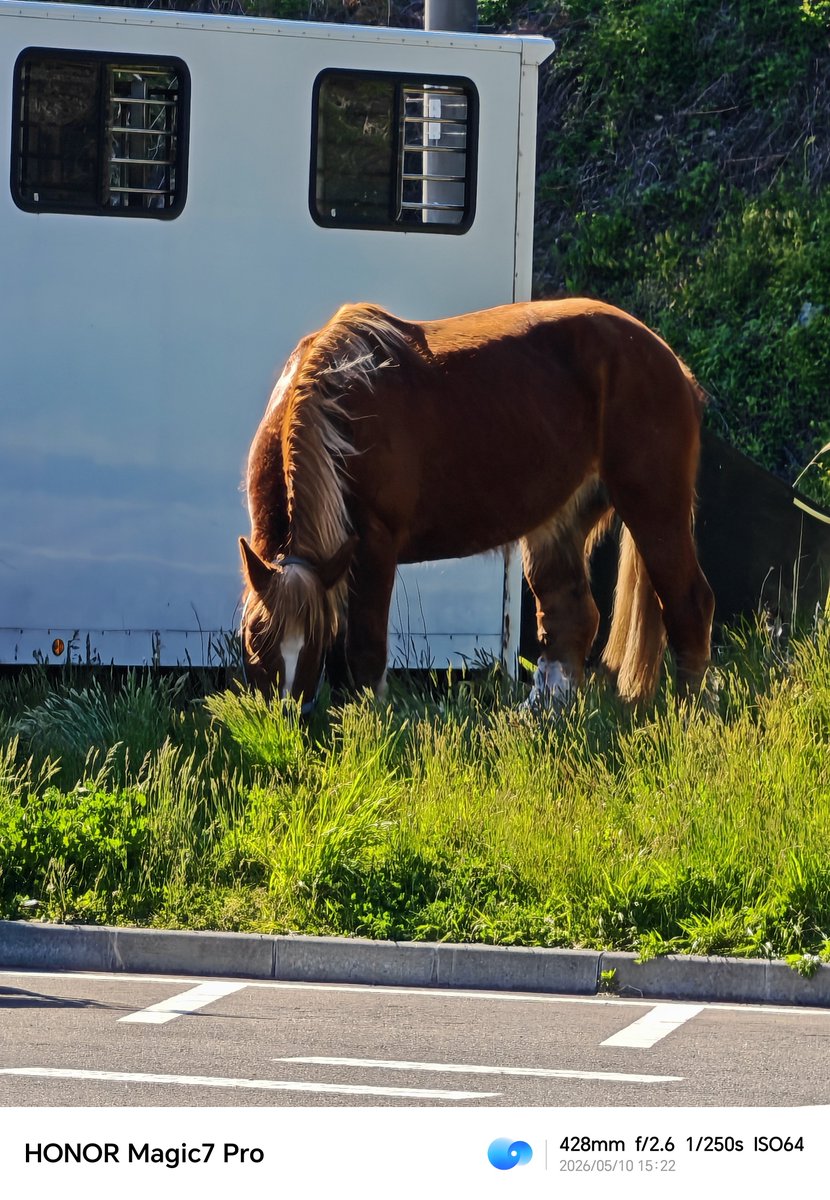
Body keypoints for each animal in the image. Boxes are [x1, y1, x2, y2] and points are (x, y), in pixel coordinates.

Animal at [239, 298, 715, 708]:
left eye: (313, 642)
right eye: (254, 640)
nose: (287, 723)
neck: (338, 412)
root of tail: (671, 362)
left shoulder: (374, 546)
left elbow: (365, 651)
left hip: (654, 508)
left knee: (689, 607)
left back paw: (688, 716)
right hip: (562, 518)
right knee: (570, 615)